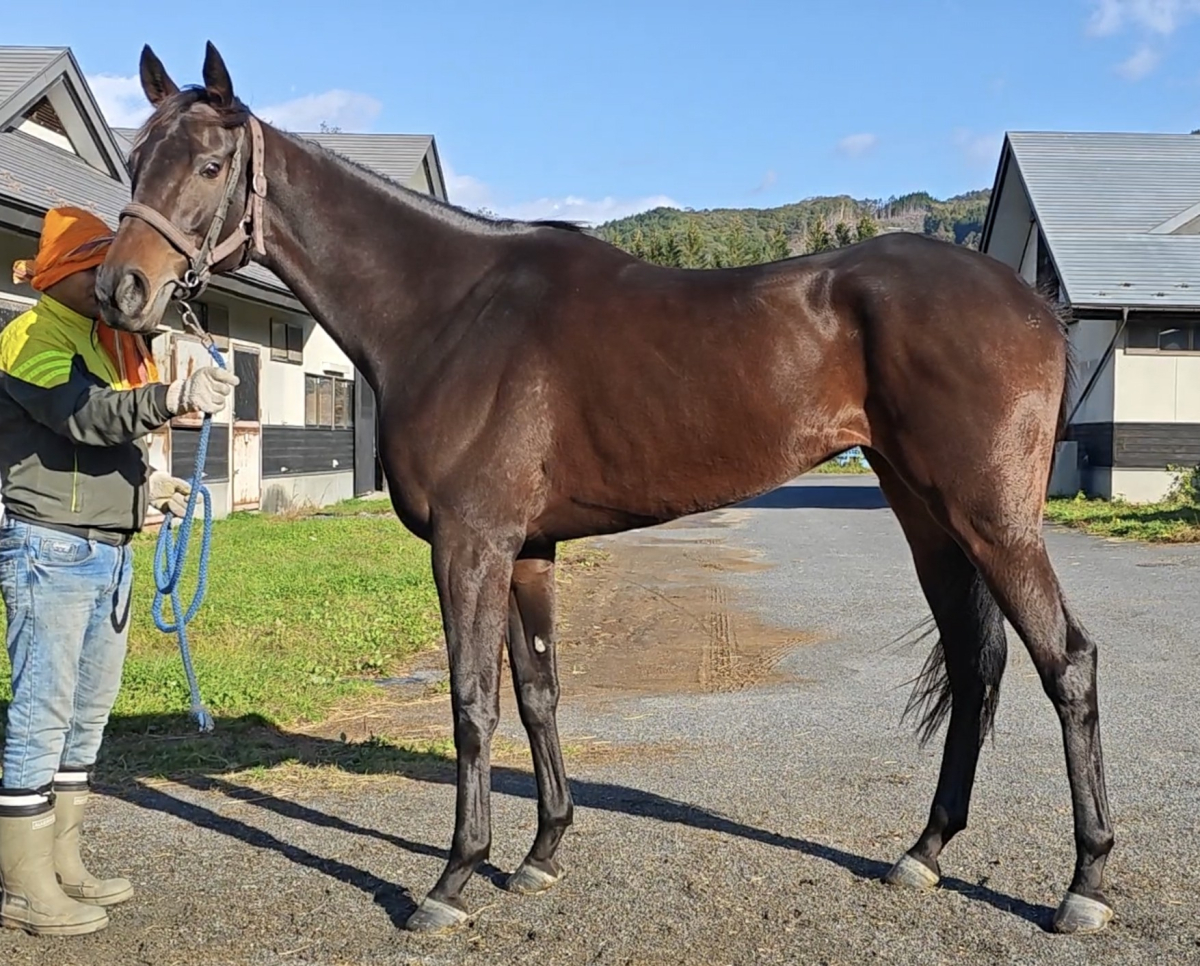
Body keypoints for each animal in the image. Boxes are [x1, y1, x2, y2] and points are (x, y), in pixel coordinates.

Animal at [96, 41, 1116, 938]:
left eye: (211, 163)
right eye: (136, 160)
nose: (121, 290)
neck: (452, 312)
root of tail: (1033, 302)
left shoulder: (470, 545)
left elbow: (473, 704)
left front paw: (454, 879)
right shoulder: (526, 550)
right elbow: (539, 692)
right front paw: (542, 854)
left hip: (992, 520)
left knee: (1067, 663)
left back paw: (1086, 883)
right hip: (928, 518)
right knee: (978, 668)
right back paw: (925, 852)